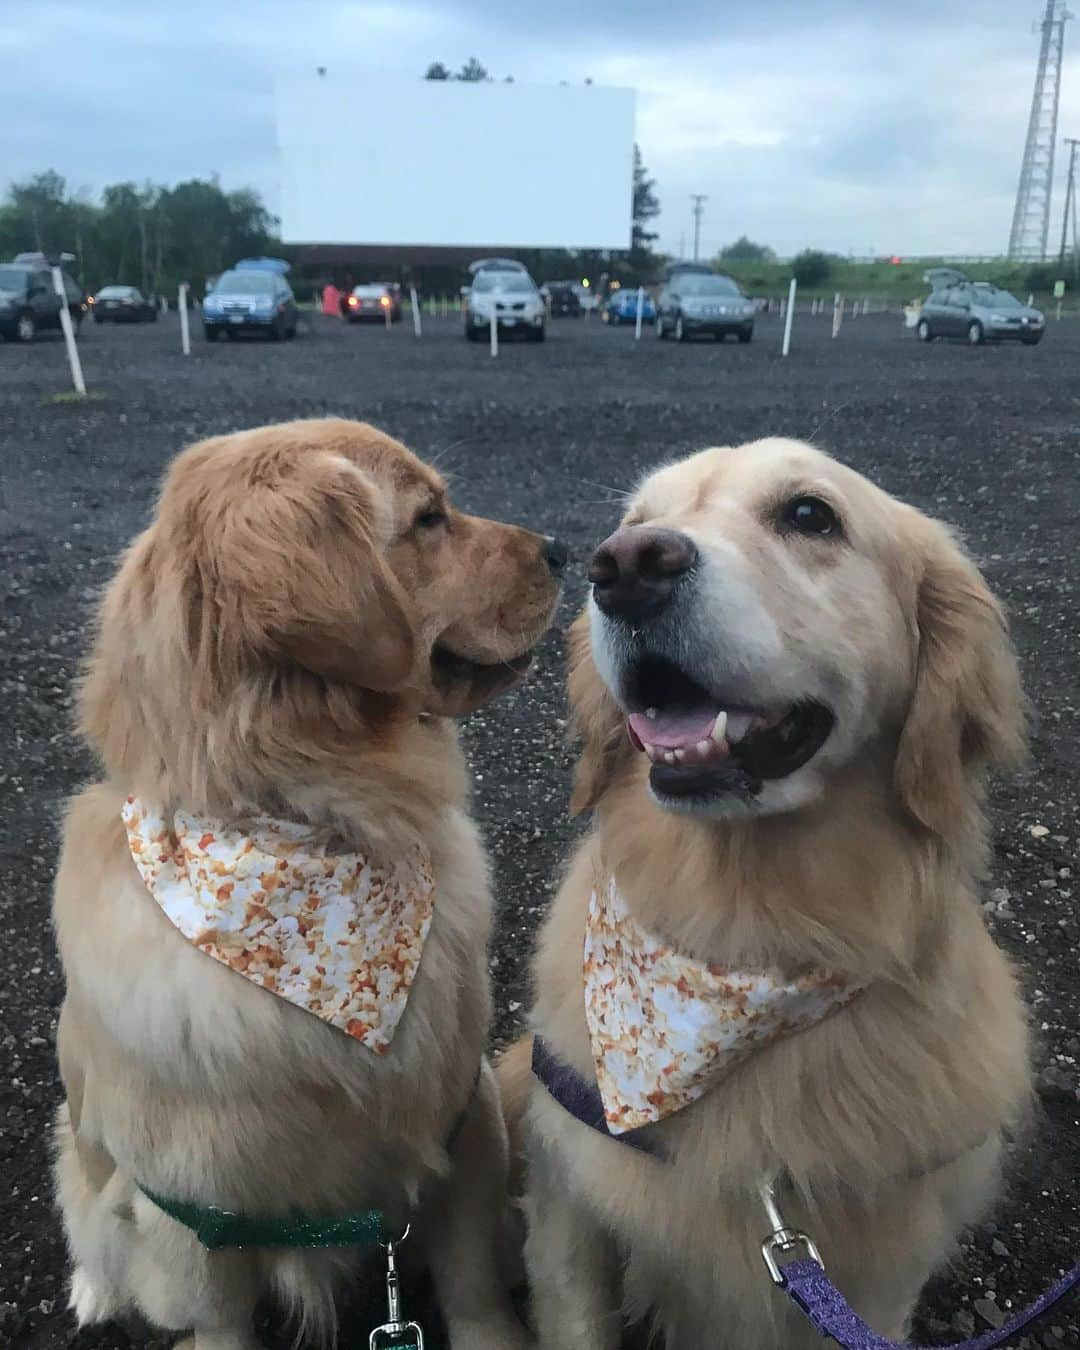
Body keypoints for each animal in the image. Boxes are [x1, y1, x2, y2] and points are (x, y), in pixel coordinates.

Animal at [53, 415, 561, 1344]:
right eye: (428, 518)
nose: (567, 549)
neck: (319, 833)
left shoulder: (461, 1124)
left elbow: (473, 1282)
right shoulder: (192, 1215)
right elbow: (219, 1322)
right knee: (85, 1206)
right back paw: (96, 1289)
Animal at [507, 437, 1031, 1344]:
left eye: (810, 514)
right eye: (635, 521)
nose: (626, 567)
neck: (744, 936)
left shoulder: (878, 1275)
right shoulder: (571, 1208)